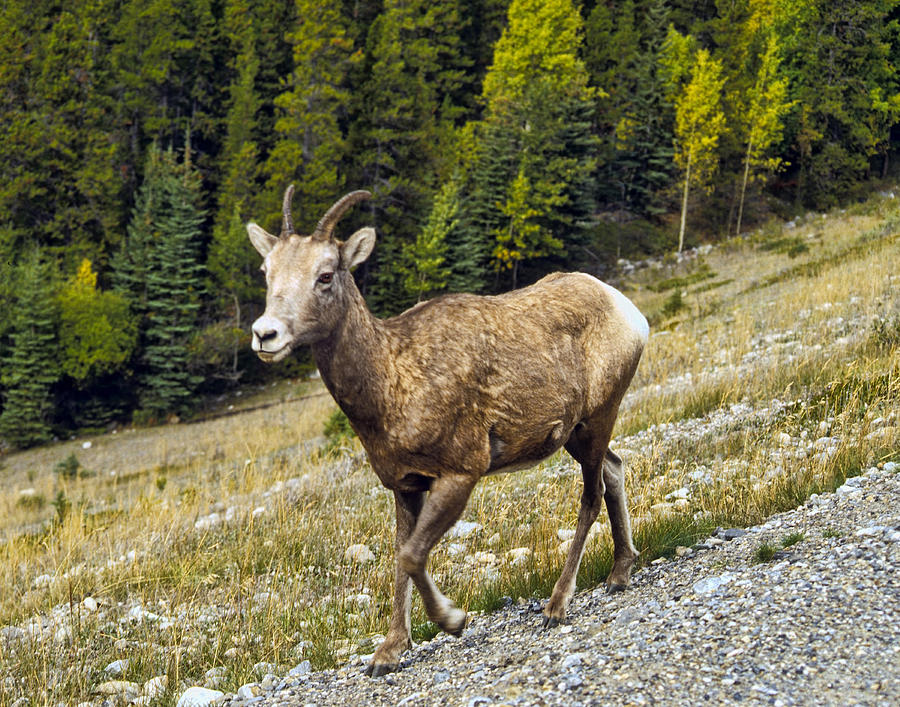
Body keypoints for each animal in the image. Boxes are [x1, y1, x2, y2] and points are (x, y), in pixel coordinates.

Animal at [248, 187, 648, 676]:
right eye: (267, 272)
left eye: (324, 275)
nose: (266, 335)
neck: (394, 383)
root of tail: (627, 310)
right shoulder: (405, 486)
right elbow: (400, 557)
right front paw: (388, 653)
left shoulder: (460, 473)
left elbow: (411, 555)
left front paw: (454, 621)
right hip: (576, 433)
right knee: (614, 470)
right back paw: (619, 574)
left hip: (598, 417)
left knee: (591, 495)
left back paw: (557, 605)